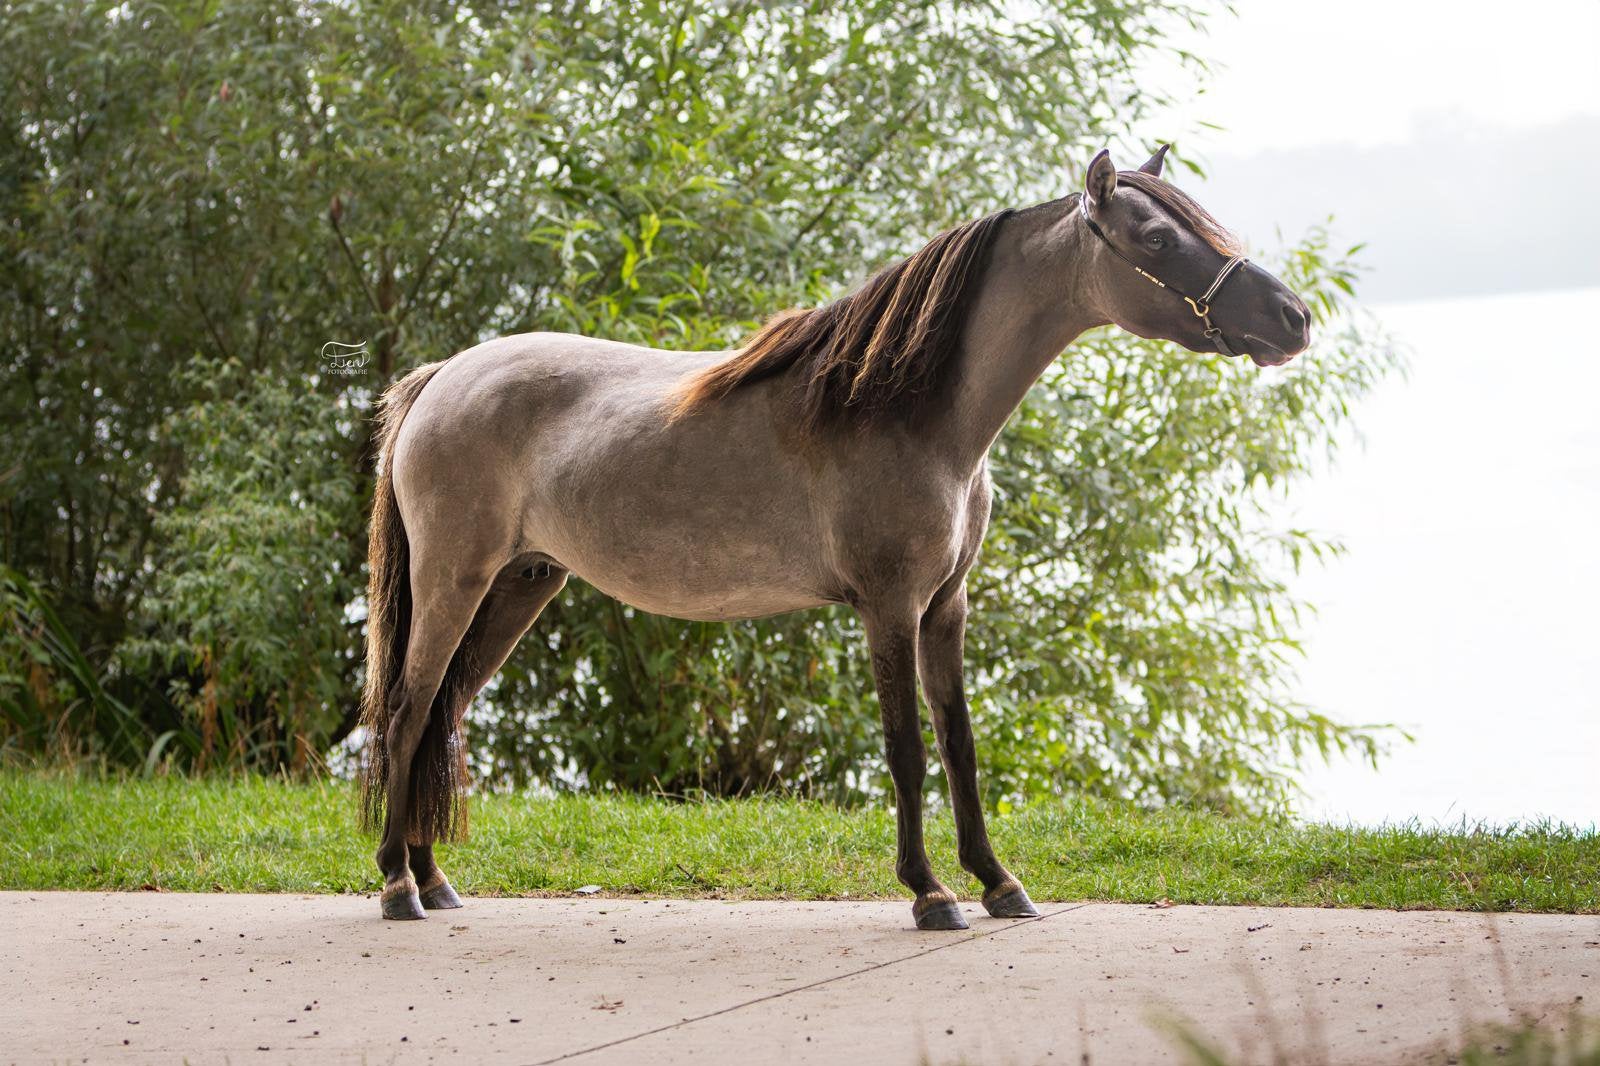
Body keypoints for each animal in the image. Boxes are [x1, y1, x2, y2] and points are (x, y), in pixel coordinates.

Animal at [357, 146, 1312, 930]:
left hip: (520, 583)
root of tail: (444, 376)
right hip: (455, 578)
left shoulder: (945, 609)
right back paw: (397, 885)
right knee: (407, 710)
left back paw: (435, 877)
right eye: (1153, 237)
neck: (904, 407)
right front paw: (931, 892)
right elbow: (907, 750)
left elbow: (960, 743)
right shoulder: (889, 606)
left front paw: (998, 882)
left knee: (444, 712)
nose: (1293, 317)